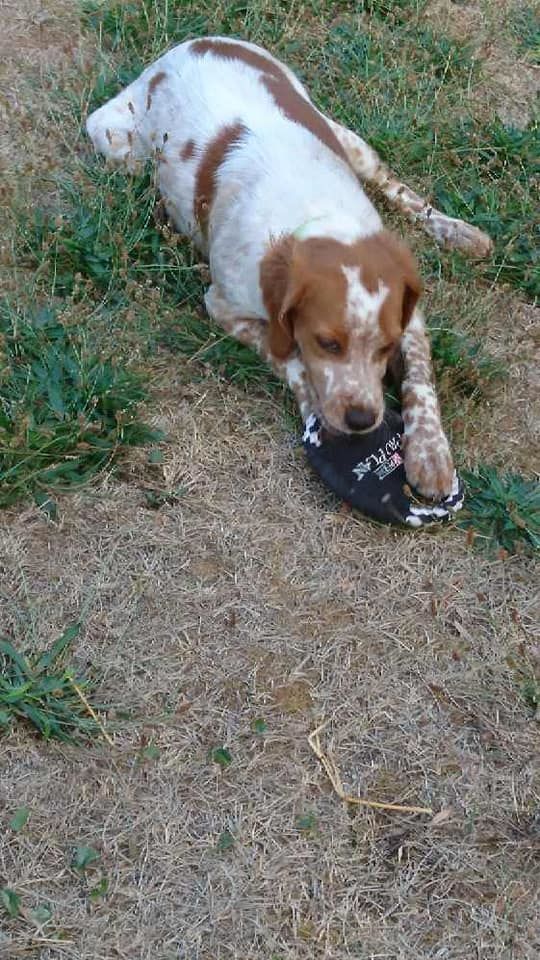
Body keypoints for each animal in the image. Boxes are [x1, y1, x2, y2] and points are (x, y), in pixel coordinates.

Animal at [85, 35, 494, 502]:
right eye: (327, 343)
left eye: (385, 346)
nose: (362, 420)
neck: (314, 214)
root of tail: (192, 43)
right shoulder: (223, 305)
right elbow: (290, 357)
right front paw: (316, 409)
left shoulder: (409, 316)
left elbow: (420, 381)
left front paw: (431, 454)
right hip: (118, 145)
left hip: (347, 137)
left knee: (399, 189)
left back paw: (459, 232)